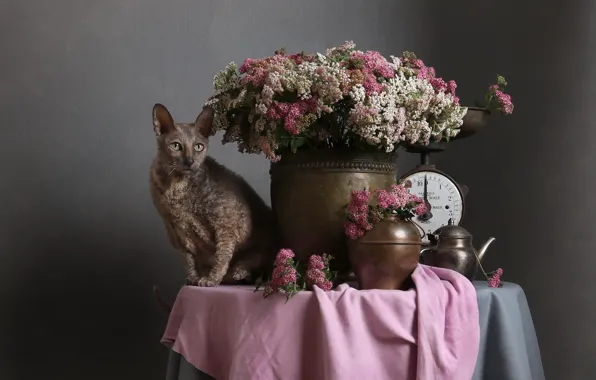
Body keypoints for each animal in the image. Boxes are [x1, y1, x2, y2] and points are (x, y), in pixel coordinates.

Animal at [150, 102, 278, 286]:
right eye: (176, 146)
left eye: (198, 147)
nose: (190, 161)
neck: (176, 188)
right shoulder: (176, 231)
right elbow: (188, 260)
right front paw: (193, 279)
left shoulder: (227, 225)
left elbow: (221, 256)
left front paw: (211, 279)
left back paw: (239, 272)